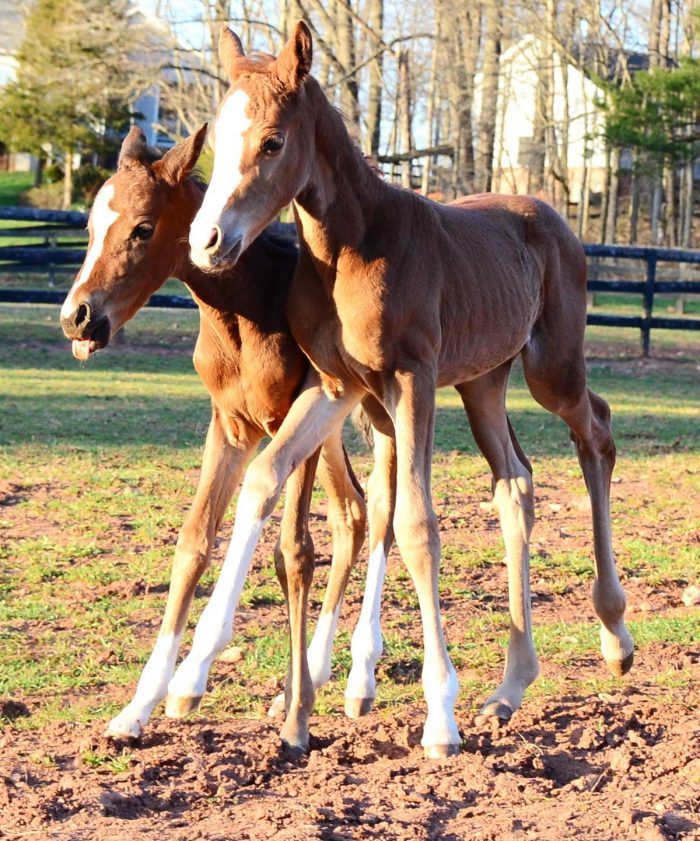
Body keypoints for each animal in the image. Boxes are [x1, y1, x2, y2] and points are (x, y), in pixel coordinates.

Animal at [59, 126, 369, 749]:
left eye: (143, 228)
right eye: (89, 228)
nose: (76, 317)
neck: (244, 310)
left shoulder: (291, 420)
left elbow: (293, 551)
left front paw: (214, 682)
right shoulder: (229, 427)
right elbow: (195, 542)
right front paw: (141, 706)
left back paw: (357, 680)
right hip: (330, 436)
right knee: (355, 512)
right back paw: (318, 674)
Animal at [173, 21, 634, 759]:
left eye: (272, 141)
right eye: (217, 135)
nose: (209, 240)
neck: (350, 248)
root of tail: (554, 218)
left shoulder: (411, 378)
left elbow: (417, 524)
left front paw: (439, 718)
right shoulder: (337, 386)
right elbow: (270, 476)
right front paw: (191, 678)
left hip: (550, 367)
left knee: (597, 431)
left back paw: (615, 635)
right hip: (482, 381)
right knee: (515, 483)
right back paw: (510, 686)